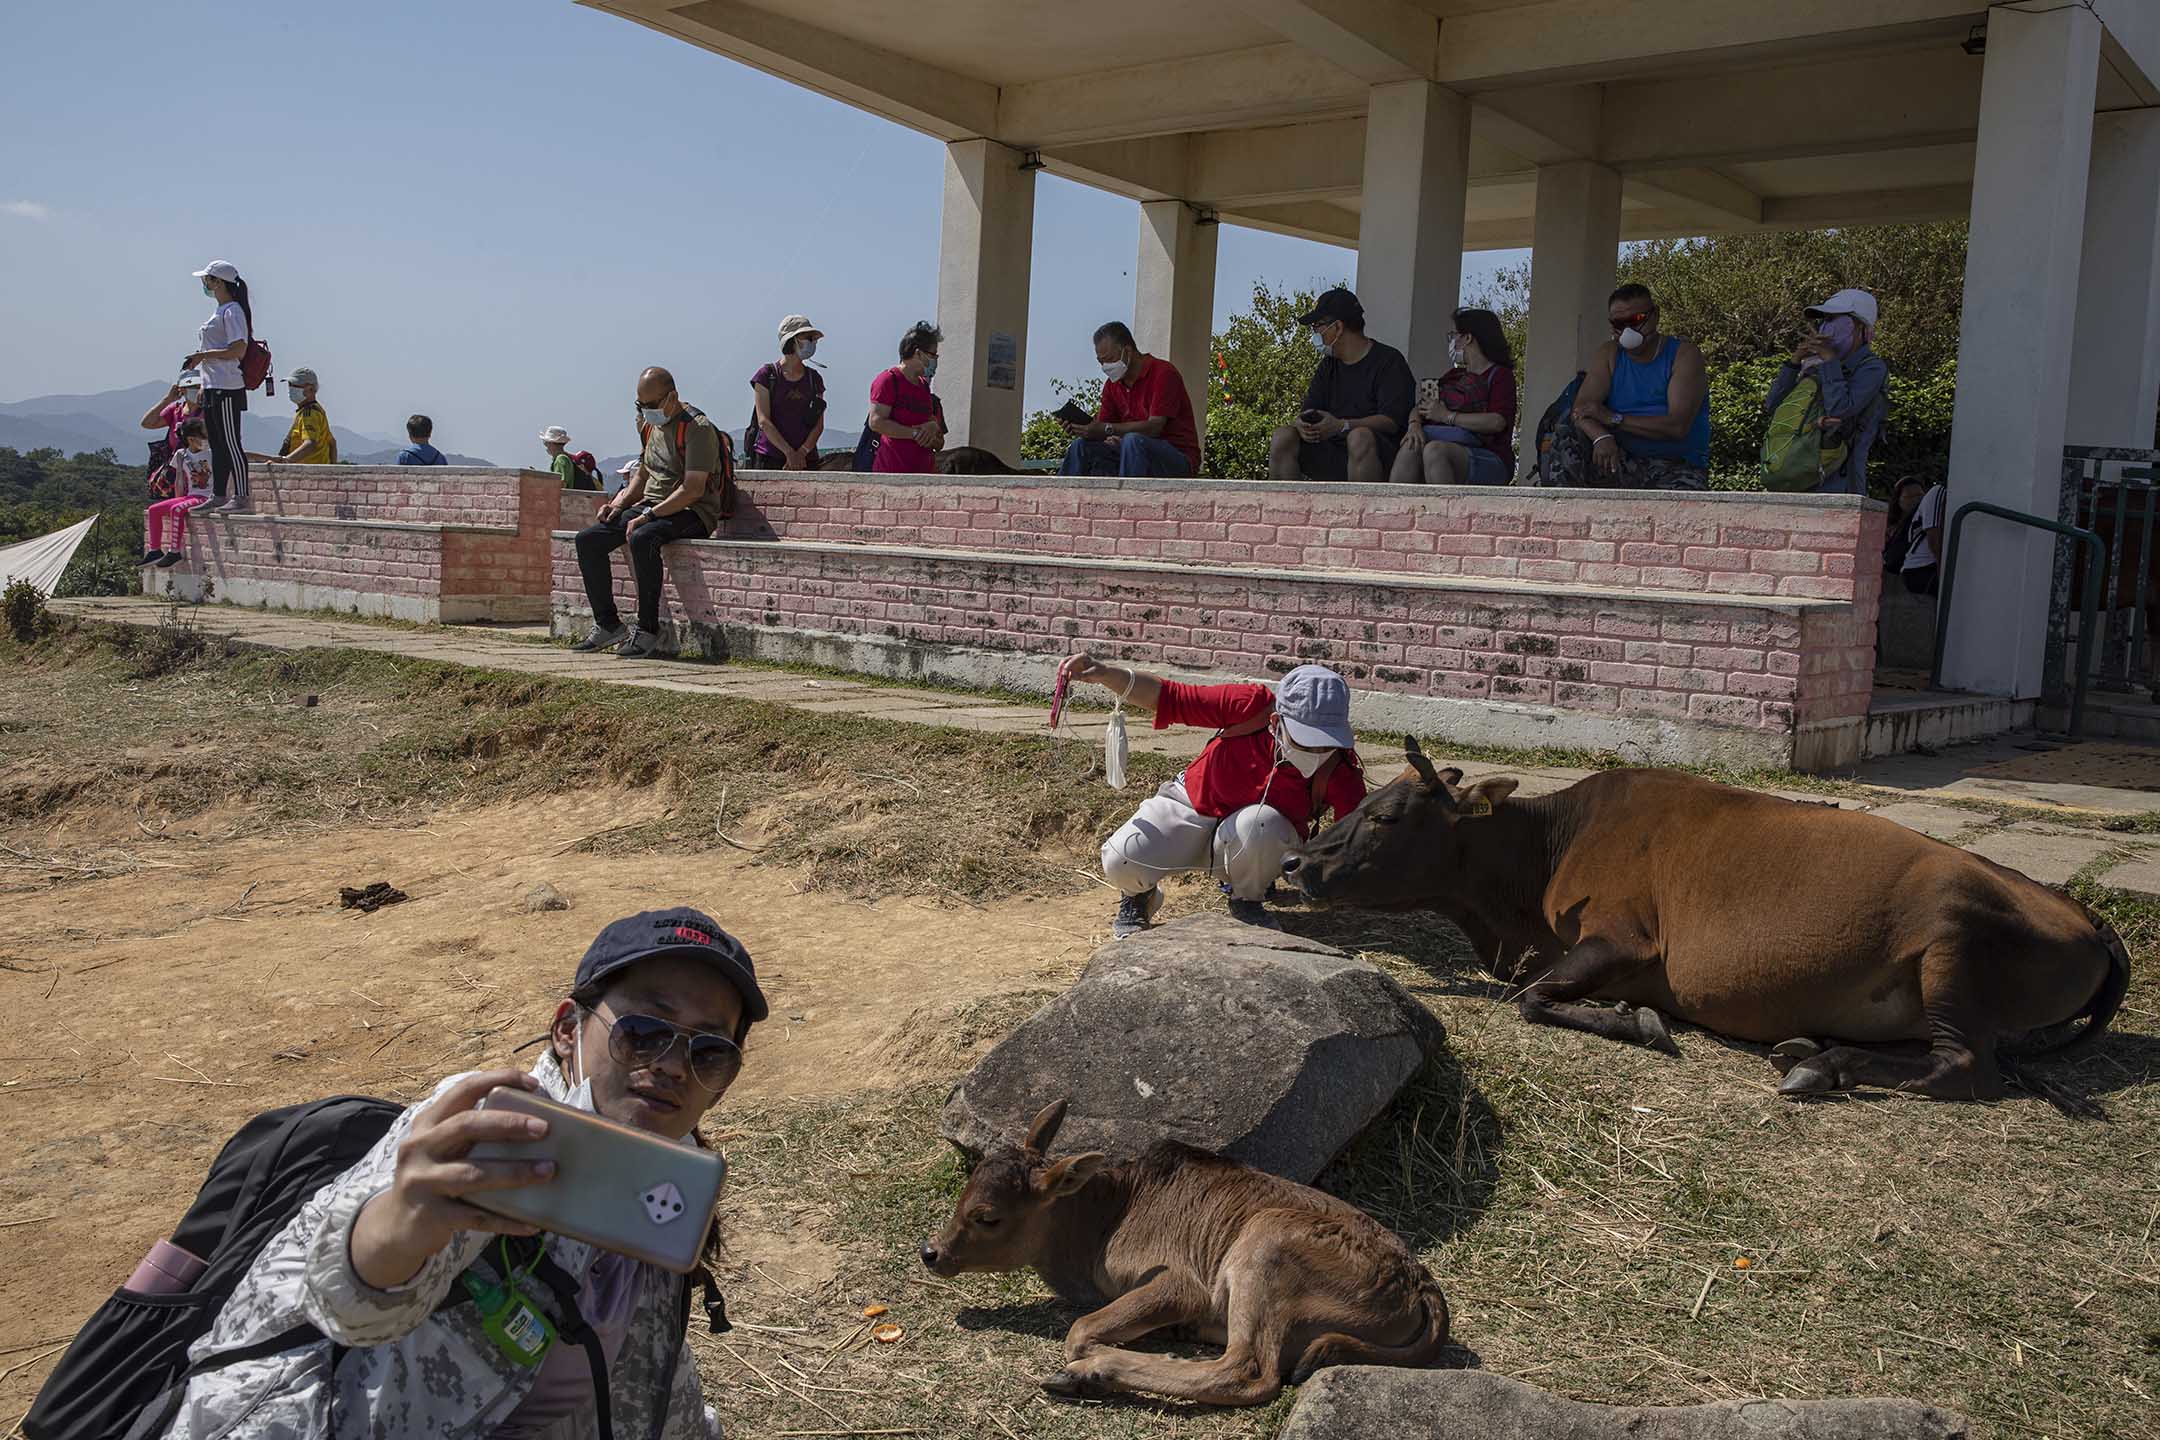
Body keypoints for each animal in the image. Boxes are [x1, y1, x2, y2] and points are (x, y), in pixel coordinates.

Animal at [915, 1105, 1451, 1407]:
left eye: (987, 1217)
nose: (932, 1252)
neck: (1105, 1218)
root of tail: (1420, 1286)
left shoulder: (1181, 1283)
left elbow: (1080, 1331)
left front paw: (1095, 1357)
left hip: (1264, 1250)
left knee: (1248, 1372)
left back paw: (1093, 1374)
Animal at [1270, 742, 2134, 1105]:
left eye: (1386, 815)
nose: (1298, 861)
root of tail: (2089, 917)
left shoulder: (1624, 937)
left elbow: (1538, 1000)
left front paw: (1640, 1021)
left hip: (1955, 939)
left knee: (1966, 1066)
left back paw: (1825, 1066)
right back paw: (1815, 1048)